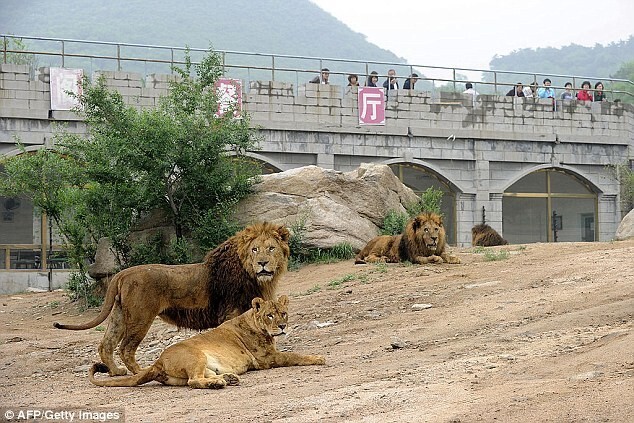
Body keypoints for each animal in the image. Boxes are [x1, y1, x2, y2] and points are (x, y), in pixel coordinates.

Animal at [89, 294, 324, 390]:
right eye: (270, 315)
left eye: (283, 313)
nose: (282, 326)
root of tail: (158, 361)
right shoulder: (267, 358)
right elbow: (294, 355)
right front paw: (318, 357)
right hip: (196, 355)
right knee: (193, 381)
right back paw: (219, 383)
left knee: (200, 377)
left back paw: (227, 378)